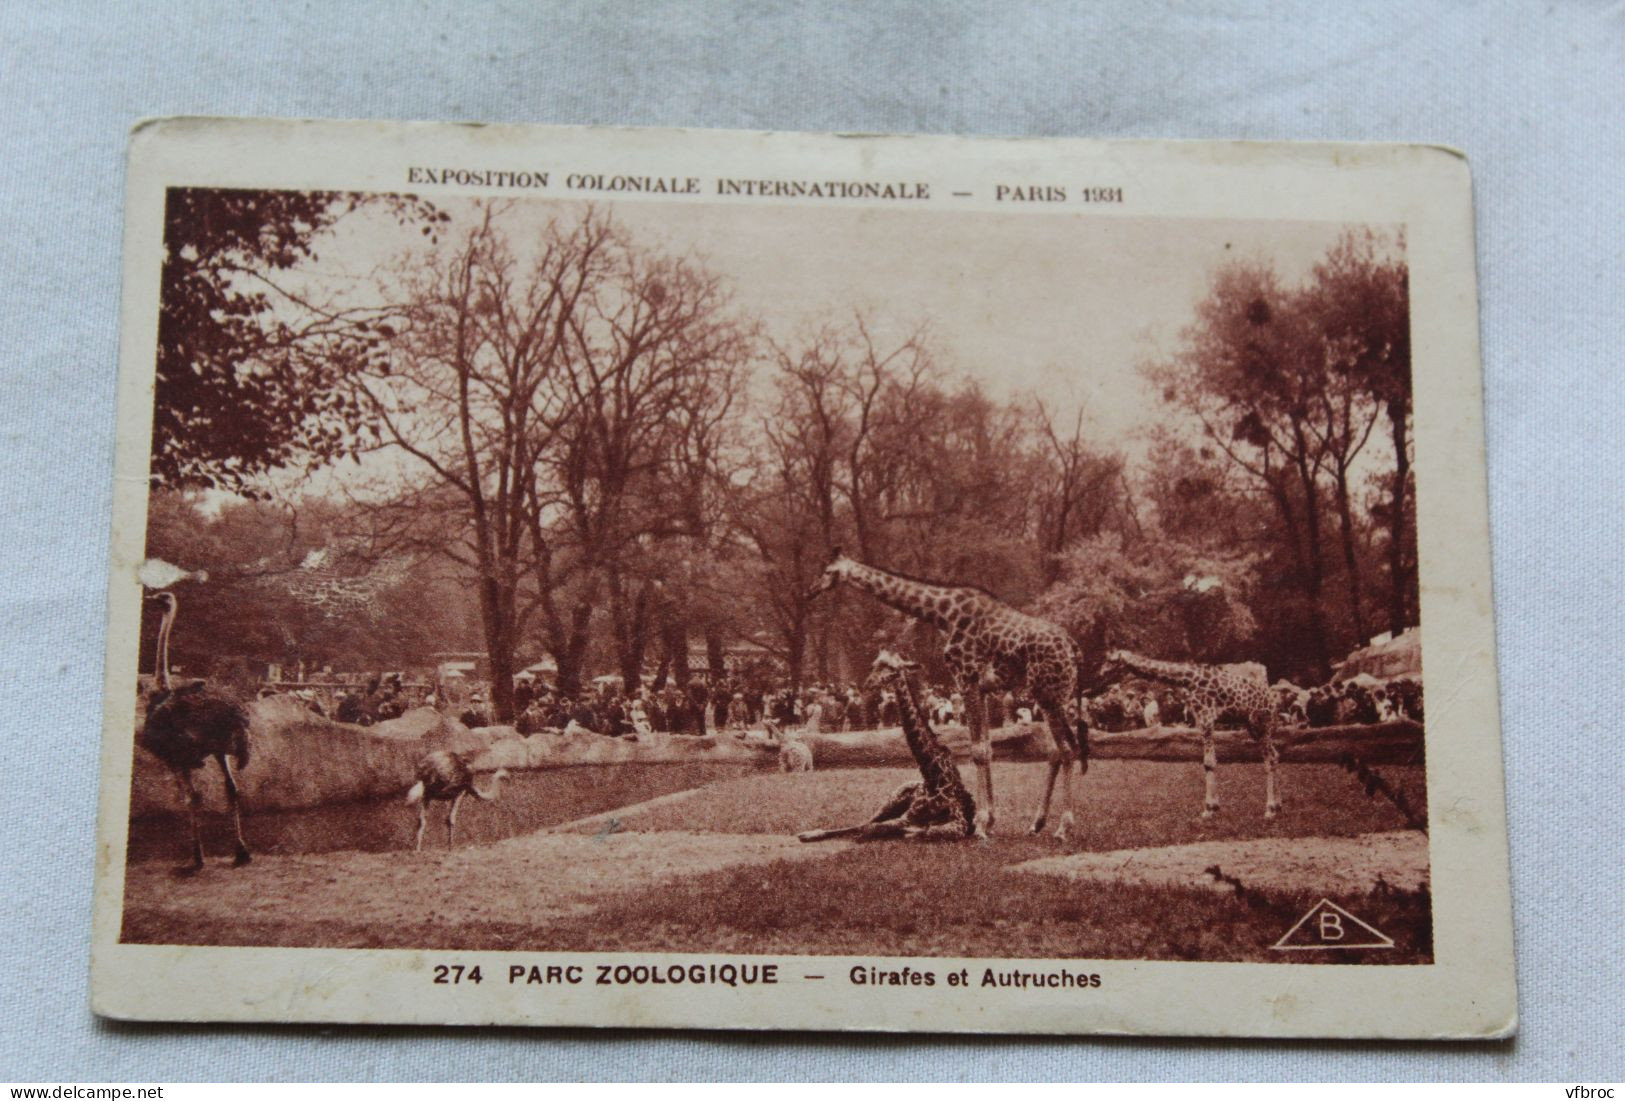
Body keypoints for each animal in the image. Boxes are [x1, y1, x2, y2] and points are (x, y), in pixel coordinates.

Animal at [799, 646, 975, 844]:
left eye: (891, 667)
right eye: (874, 664)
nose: (869, 683)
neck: (933, 778)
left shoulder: (959, 824)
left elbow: (929, 831)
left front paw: (914, 832)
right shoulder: (907, 816)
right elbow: (873, 827)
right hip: (892, 799)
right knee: (866, 822)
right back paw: (808, 834)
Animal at [1098, 652, 1287, 824]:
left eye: (1110, 660)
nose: (1101, 673)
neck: (1189, 679)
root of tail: (1274, 704)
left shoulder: (1207, 718)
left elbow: (1209, 762)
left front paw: (1209, 809)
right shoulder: (1201, 719)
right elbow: (1208, 762)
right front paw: (1213, 807)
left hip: (1261, 724)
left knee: (1270, 757)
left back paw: (1270, 810)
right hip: (1253, 726)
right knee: (1274, 755)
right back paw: (1277, 806)